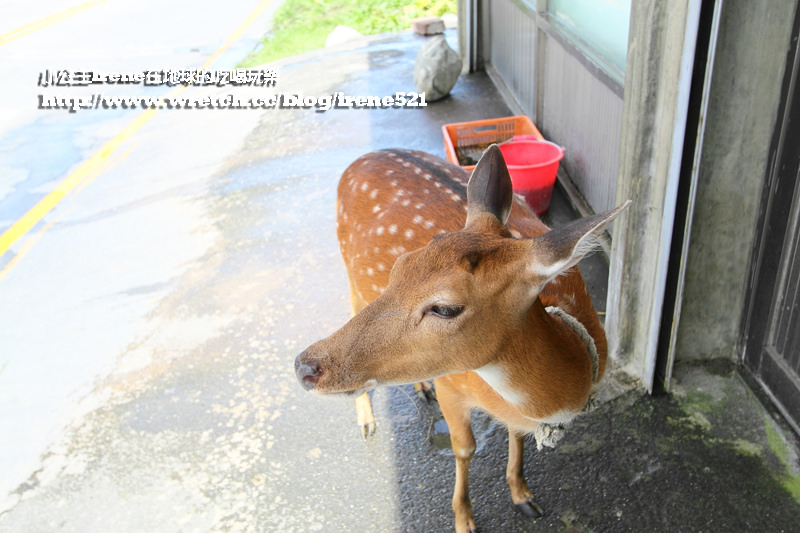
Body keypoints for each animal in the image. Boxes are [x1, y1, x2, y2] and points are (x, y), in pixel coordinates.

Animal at [294, 145, 632, 532]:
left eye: (445, 308)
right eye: (399, 267)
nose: (304, 366)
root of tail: (366, 155)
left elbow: (515, 435)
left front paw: (523, 496)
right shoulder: (452, 383)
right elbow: (464, 448)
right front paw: (464, 519)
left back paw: (419, 389)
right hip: (350, 275)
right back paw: (367, 421)